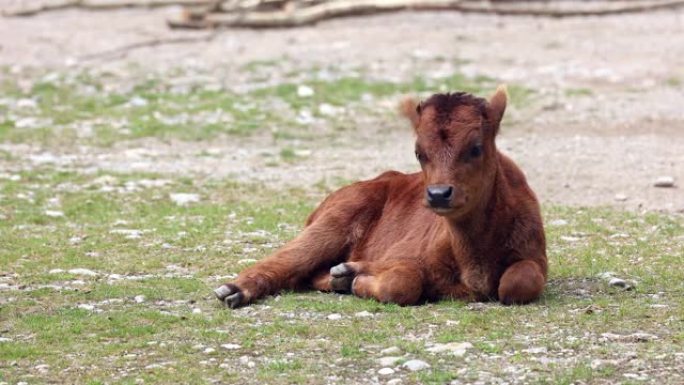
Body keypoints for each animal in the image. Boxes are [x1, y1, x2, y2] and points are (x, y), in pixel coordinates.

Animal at [216, 86, 548, 306]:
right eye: (419, 152)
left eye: (476, 147)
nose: (439, 194)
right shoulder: (406, 256)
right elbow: (402, 282)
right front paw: (356, 279)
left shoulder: (535, 258)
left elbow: (519, 281)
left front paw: (350, 277)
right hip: (332, 223)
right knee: (289, 257)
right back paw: (233, 290)